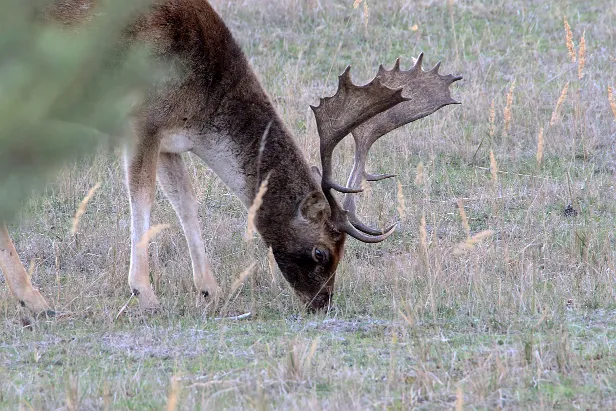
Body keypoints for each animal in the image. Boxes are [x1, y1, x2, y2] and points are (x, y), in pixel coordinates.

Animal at [0, 0, 460, 316]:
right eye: (320, 253)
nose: (322, 303)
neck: (202, 99)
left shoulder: (170, 139)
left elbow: (186, 202)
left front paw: (210, 290)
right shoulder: (140, 121)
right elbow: (141, 200)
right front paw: (145, 293)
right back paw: (35, 301)